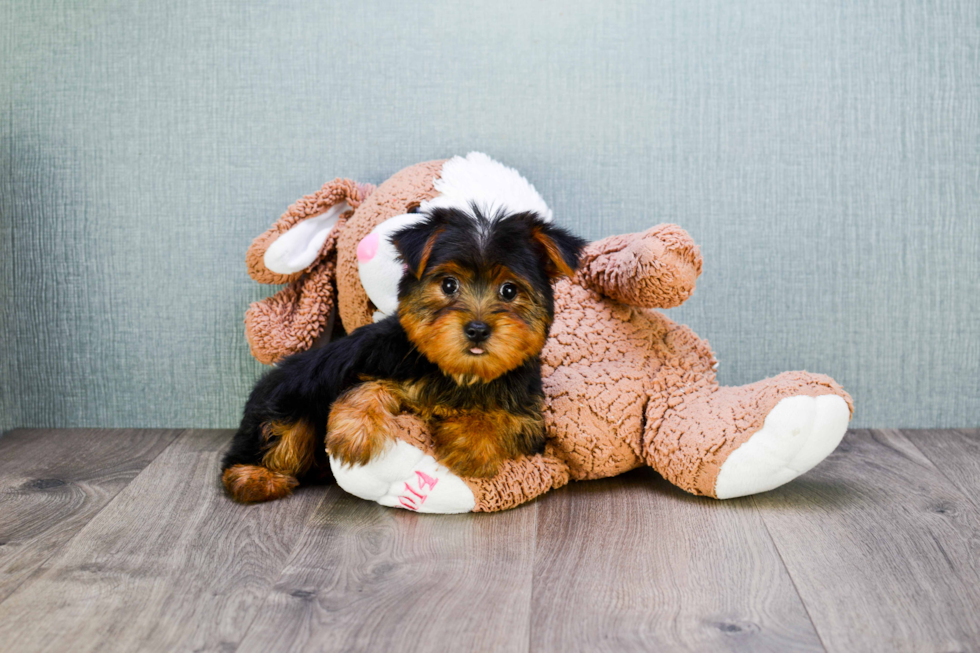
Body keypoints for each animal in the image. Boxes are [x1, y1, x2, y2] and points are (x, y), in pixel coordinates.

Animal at [222, 206, 584, 502]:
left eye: (509, 290)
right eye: (449, 284)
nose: (478, 329)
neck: (460, 372)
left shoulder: (528, 414)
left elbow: (504, 419)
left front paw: (470, 443)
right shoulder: (375, 360)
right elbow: (366, 386)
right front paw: (354, 435)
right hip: (288, 398)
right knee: (274, 437)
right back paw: (253, 478)